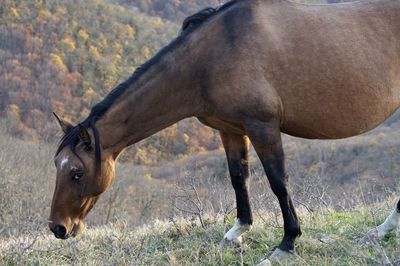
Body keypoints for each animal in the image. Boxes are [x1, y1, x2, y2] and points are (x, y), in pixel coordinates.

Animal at [50, 0, 400, 262]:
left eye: (77, 172)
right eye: (58, 167)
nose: (58, 228)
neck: (213, 57)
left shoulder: (263, 127)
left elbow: (278, 182)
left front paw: (287, 244)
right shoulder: (230, 130)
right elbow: (238, 178)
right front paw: (238, 232)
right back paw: (383, 230)